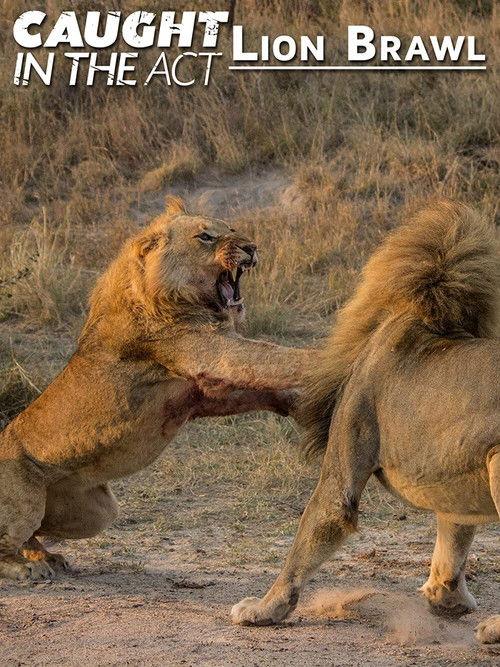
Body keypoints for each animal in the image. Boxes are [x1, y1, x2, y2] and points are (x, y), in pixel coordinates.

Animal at [0, 196, 312, 582]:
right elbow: (275, 356)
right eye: (206, 237)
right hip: (24, 497)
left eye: (232, 229)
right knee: (7, 540)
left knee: (33, 533)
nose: (251, 248)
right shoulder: (207, 351)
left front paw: (297, 401)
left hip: (97, 512)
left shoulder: (197, 392)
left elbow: (257, 385)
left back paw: (46, 557)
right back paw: (26, 568)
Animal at [231, 200, 500, 645]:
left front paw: (264, 608)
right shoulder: (460, 467)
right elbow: (454, 534)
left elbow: (313, 528)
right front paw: (444, 597)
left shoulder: (347, 450)